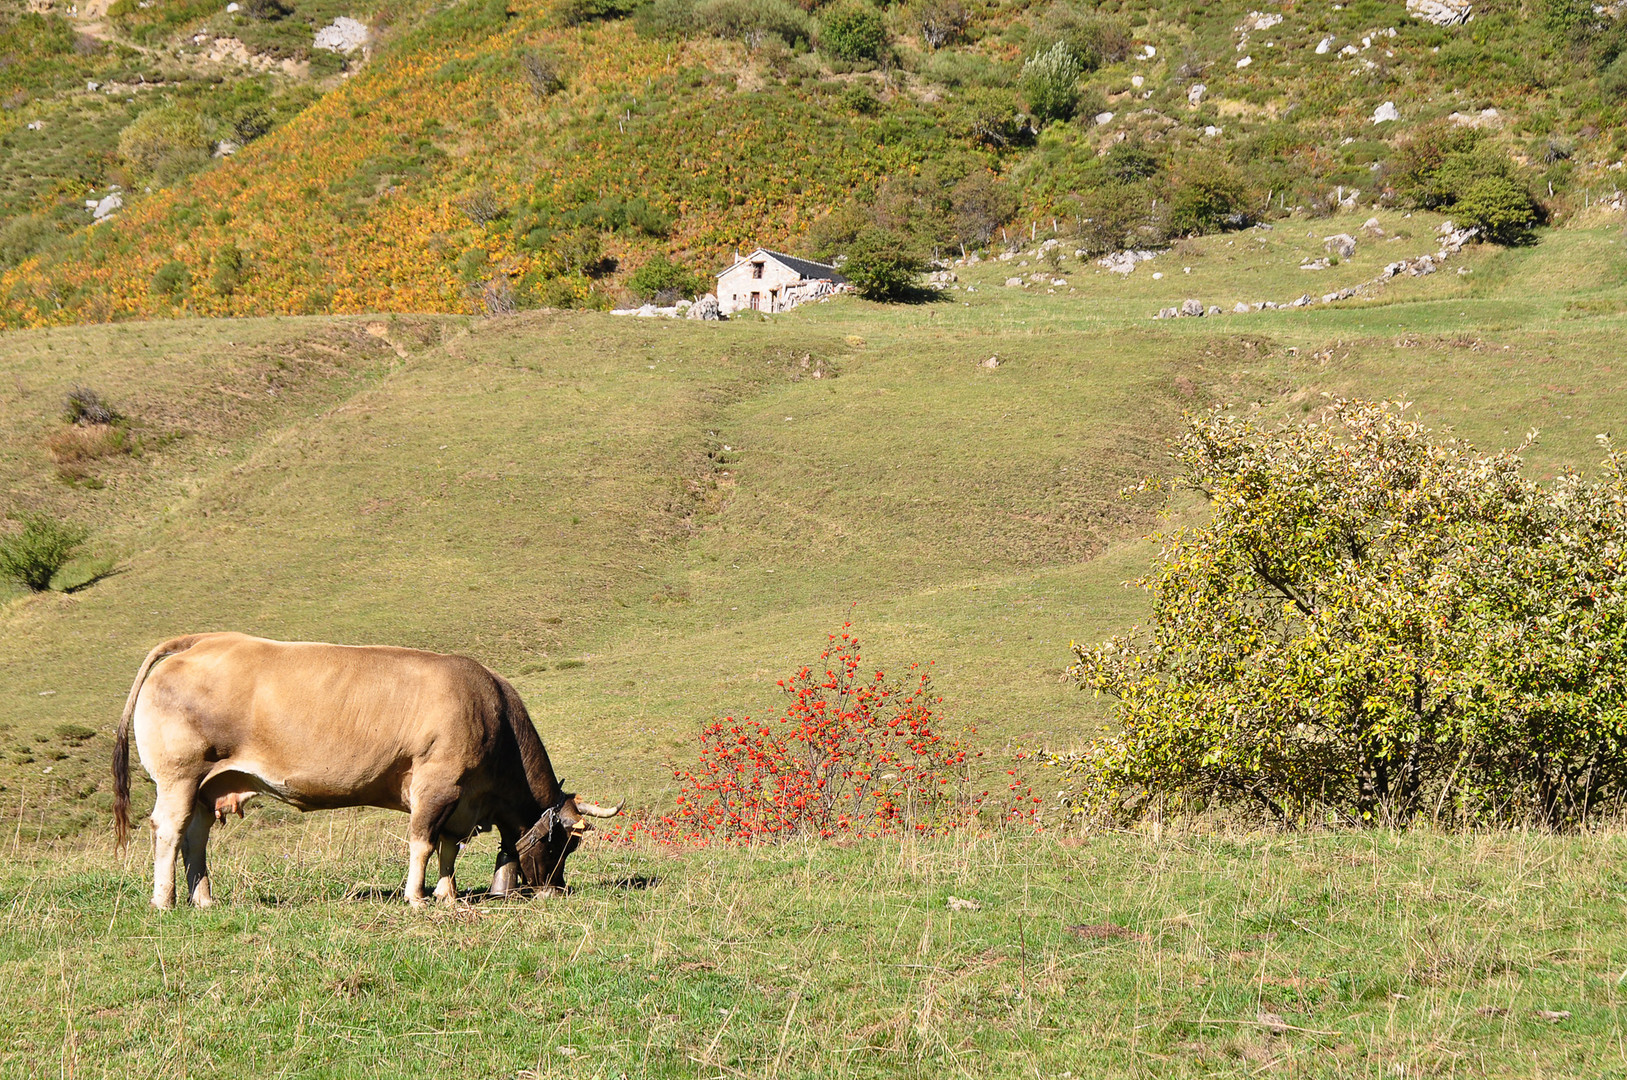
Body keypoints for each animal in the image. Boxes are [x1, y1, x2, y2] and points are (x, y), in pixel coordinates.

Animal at [113, 637, 621, 904]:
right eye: (563, 843)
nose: (557, 890)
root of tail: (202, 640)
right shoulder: (437, 784)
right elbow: (423, 843)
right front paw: (417, 897)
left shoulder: (461, 798)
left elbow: (448, 848)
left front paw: (447, 894)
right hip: (178, 777)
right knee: (169, 830)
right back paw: (165, 899)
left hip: (208, 784)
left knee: (196, 836)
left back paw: (204, 899)